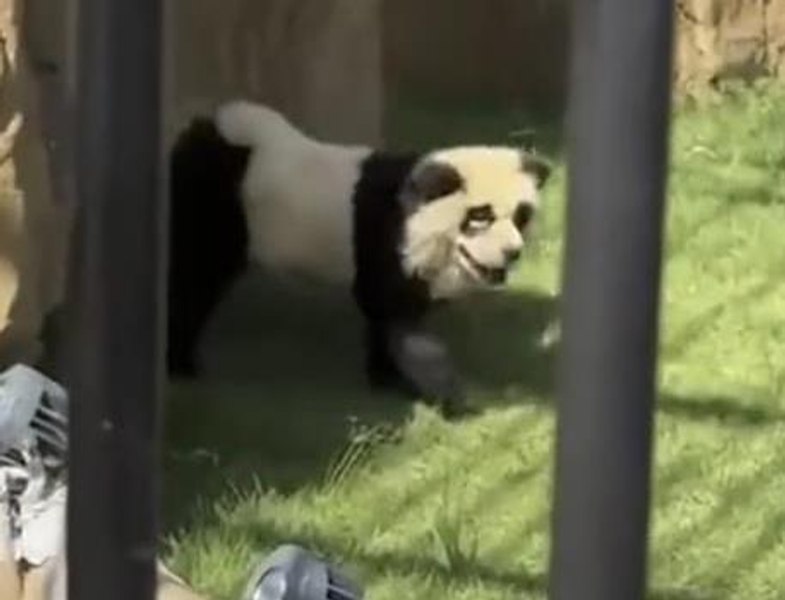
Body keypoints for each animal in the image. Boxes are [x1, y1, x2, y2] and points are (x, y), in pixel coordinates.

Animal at [167, 100, 551, 418]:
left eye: (521, 217)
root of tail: (206, 128)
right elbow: (387, 311)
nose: (512, 252)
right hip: (214, 207)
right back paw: (183, 365)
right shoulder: (387, 239)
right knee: (194, 278)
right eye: (480, 216)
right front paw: (398, 381)